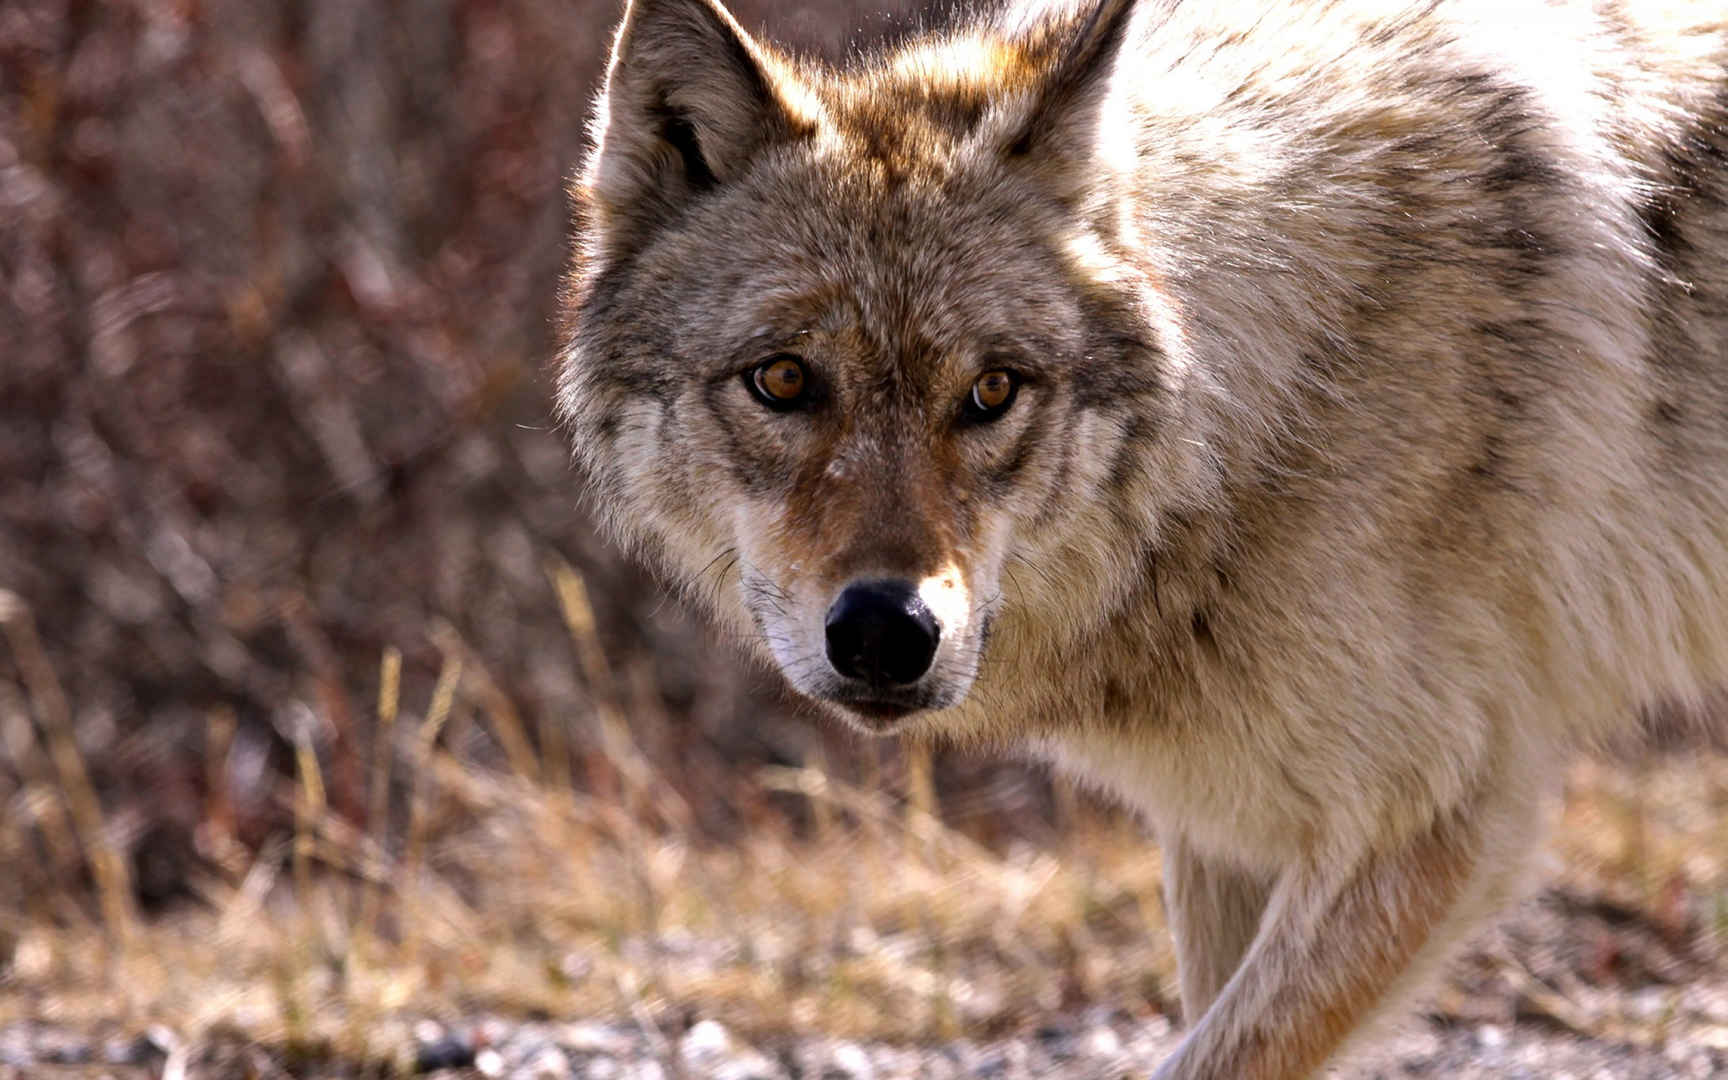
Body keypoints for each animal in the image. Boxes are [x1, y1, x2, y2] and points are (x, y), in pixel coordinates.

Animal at [552, 2, 1728, 1071]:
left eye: (992, 391)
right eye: (786, 379)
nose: (889, 633)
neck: (1263, 412)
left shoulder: (1430, 823)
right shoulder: (1228, 829)